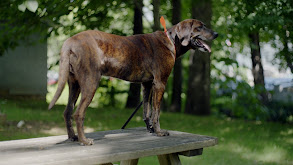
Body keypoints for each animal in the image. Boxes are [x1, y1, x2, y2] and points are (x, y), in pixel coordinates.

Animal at [48, 19, 217, 146]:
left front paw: (150, 129)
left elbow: (147, 110)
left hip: (74, 84)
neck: (171, 40)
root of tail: (70, 42)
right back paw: (84, 140)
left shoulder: (148, 84)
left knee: (67, 111)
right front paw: (159, 131)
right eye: (200, 27)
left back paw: (73, 137)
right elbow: (156, 112)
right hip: (90, 82)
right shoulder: (160, 83)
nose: (216, 34)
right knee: (78, 113)